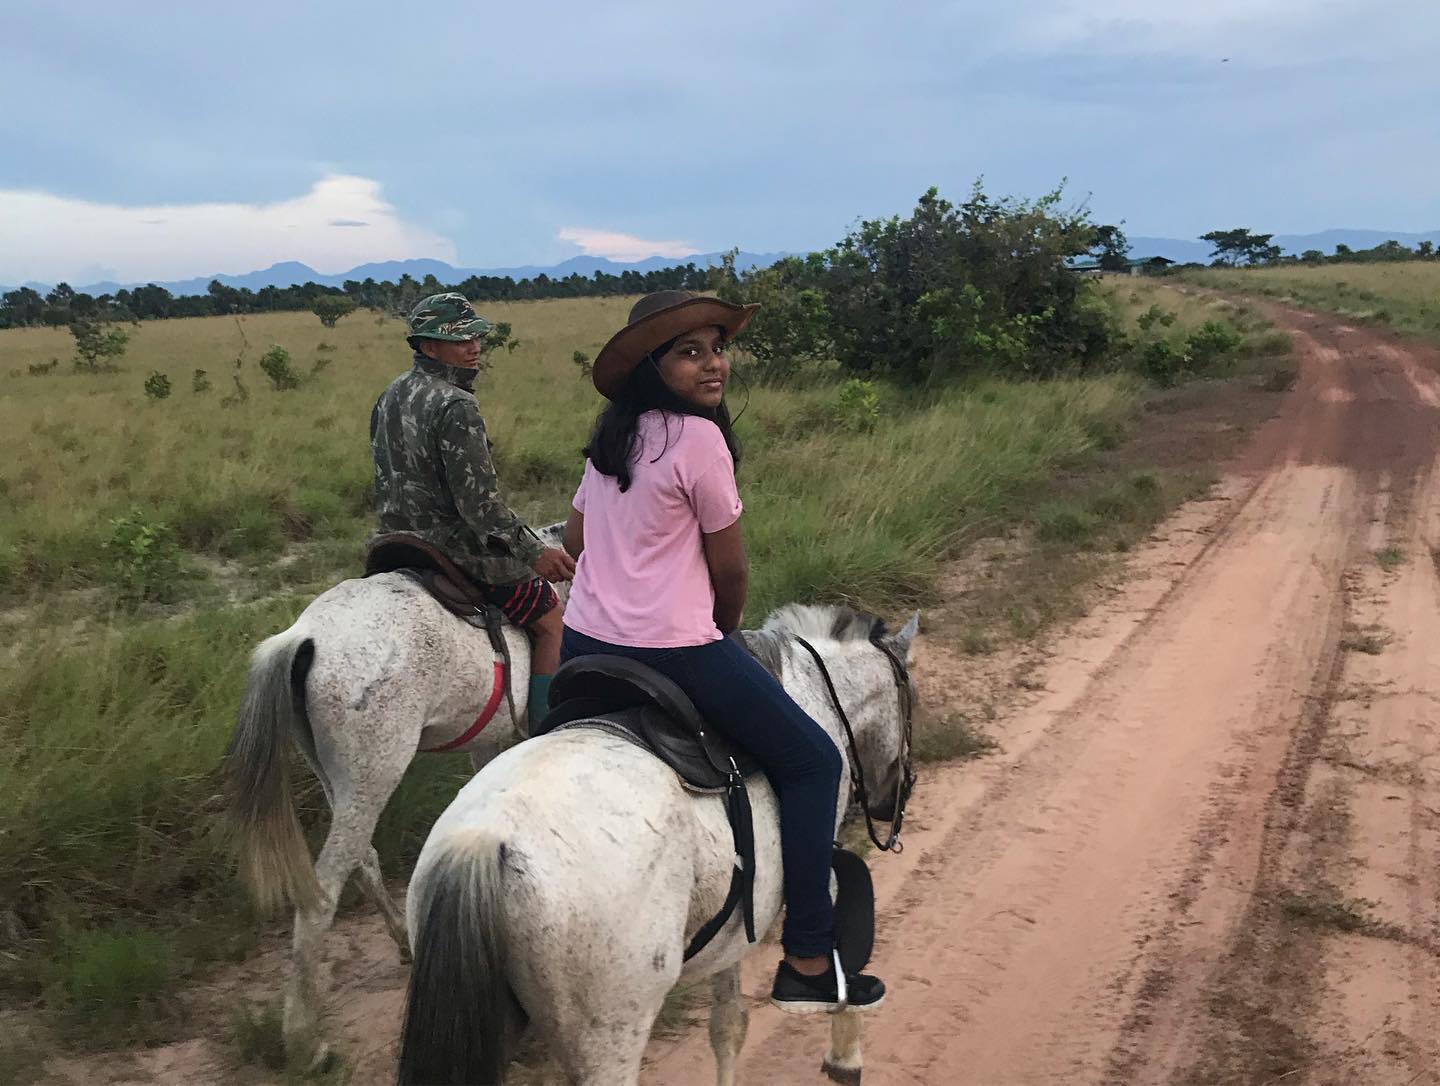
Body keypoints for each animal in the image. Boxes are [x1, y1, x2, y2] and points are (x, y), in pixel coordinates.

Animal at [221, 521, 564, 1060]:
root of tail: (303, 637)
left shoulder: (488, 743)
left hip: (342, 780)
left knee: (362, 858)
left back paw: (404, 940)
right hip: (374, 773)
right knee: (322, 893)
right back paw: (303, 1039)